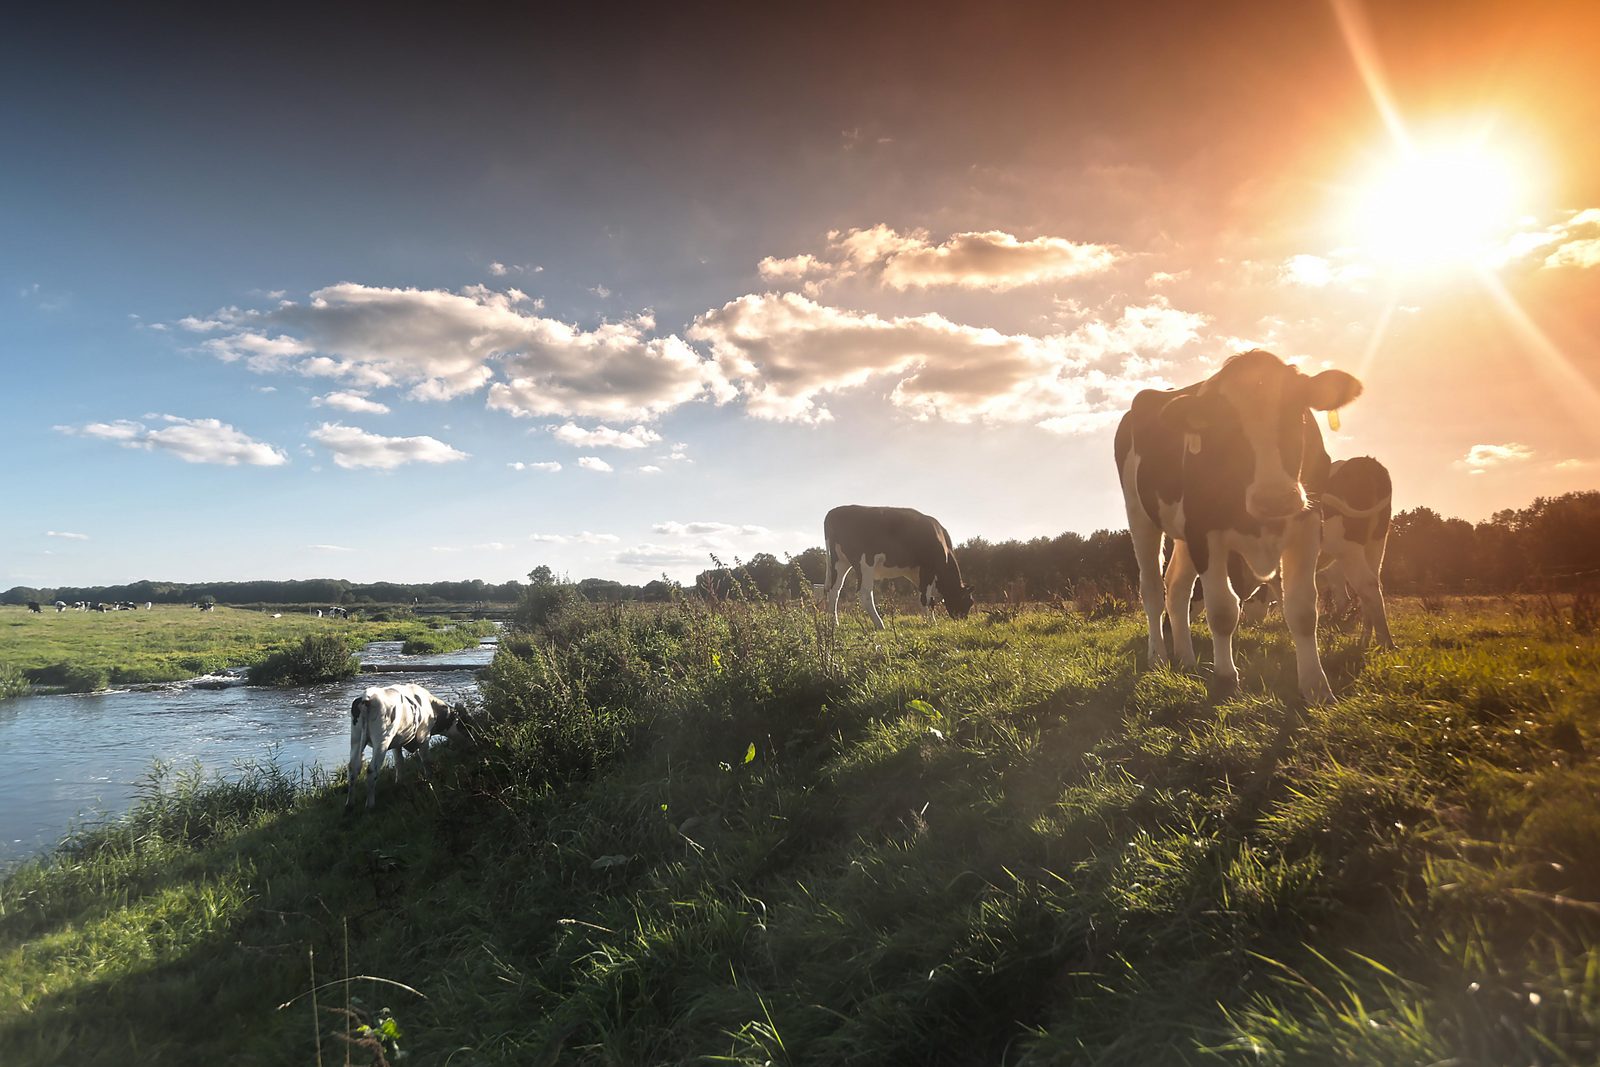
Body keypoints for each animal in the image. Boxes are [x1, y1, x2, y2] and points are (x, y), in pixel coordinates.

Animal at [825, 505, 972, 630]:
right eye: (969, 602)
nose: (963, 620)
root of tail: (834, 512)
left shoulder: (916, 572)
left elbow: (925, 597)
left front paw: (927, 619)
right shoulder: (928, 567)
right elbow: (926, 597)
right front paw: (931, 622)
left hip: (840, 562)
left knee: (834, 590)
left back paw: (834, 623)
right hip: (865, 563)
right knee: (864, 592)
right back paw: (879, 624)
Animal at [1113, 347, 1363, 703]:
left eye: (1298, 410)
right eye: (1224, 424)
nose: (1275, 498)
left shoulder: (1308, 525)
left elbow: (1302, 610)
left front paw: (1316, 686)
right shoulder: (1204, 531)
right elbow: (1222, 610)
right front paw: (1225, 678)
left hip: (1184, 536)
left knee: (1177, 587)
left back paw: (1186, 658)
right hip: (1141, 516)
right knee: (1152, 589)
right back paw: (1158, 657)